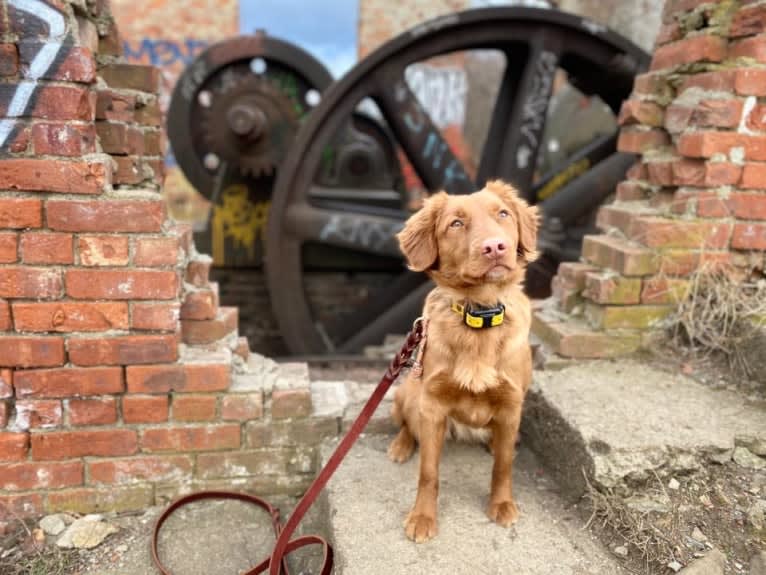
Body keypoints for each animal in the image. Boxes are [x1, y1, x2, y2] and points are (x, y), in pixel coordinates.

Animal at [390, 180, 540, 544]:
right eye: (456, 224)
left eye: (503, 214)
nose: (495, 247)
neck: (480, 314)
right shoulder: (431, 406)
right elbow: (428, 472)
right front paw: (422, 517)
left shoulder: (512, 404)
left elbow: (503, 465)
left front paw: (502, 505)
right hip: (408, 394)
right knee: (406, 424)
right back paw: (401, 445)